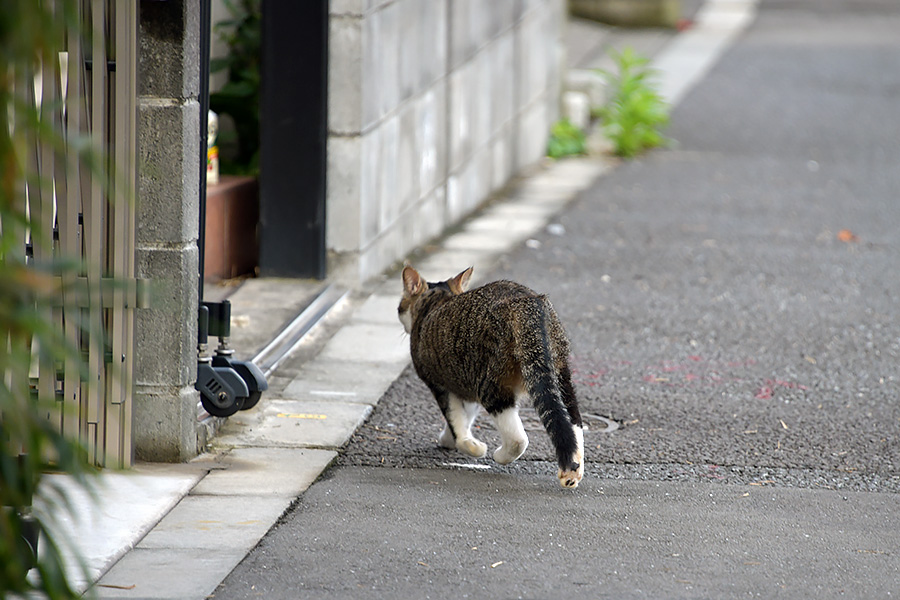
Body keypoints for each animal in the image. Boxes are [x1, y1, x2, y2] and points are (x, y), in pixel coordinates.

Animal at [400, 266, 584, 488]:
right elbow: (464, 416)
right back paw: (572, 472)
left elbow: (455, 418)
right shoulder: (463, 382)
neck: (436, 300)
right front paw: (450, 439)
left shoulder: (439, 384)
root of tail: (526, 302)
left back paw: (500, 456)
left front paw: (468, 445)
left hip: (490, 381)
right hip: (560, 373)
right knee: (573, 421)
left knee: (518, 439)